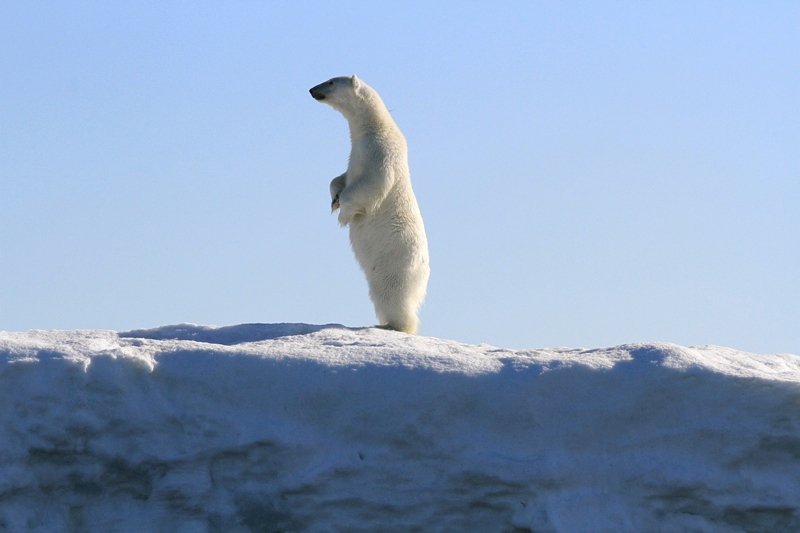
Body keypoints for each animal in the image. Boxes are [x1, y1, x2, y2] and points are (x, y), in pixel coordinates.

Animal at [310, 75, 430, 334]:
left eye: (331, 81)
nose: (312, 89)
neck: (375, 127)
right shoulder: (354, 154)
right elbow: (340, 178)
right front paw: (334, 200)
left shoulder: (380, 151)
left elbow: (372, 183)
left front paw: (343, 214)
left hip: (395, 265)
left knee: (392, 297)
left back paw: (393, 325)